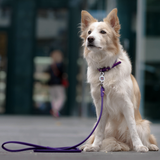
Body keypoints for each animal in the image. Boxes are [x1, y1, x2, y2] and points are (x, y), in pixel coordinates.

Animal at [80, 8, 159, 152]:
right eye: (89, 32)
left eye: (103, 32)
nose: (90, 39)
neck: (105, 69)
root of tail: (120, 140)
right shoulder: (100, 106)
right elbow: (99, 131)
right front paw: (95, 147)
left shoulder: (127, 104)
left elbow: (133, 129)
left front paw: (139, 146)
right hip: (98, 124)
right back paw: (88, 145)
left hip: (143, 124)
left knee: (146, 137)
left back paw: (149, 145)